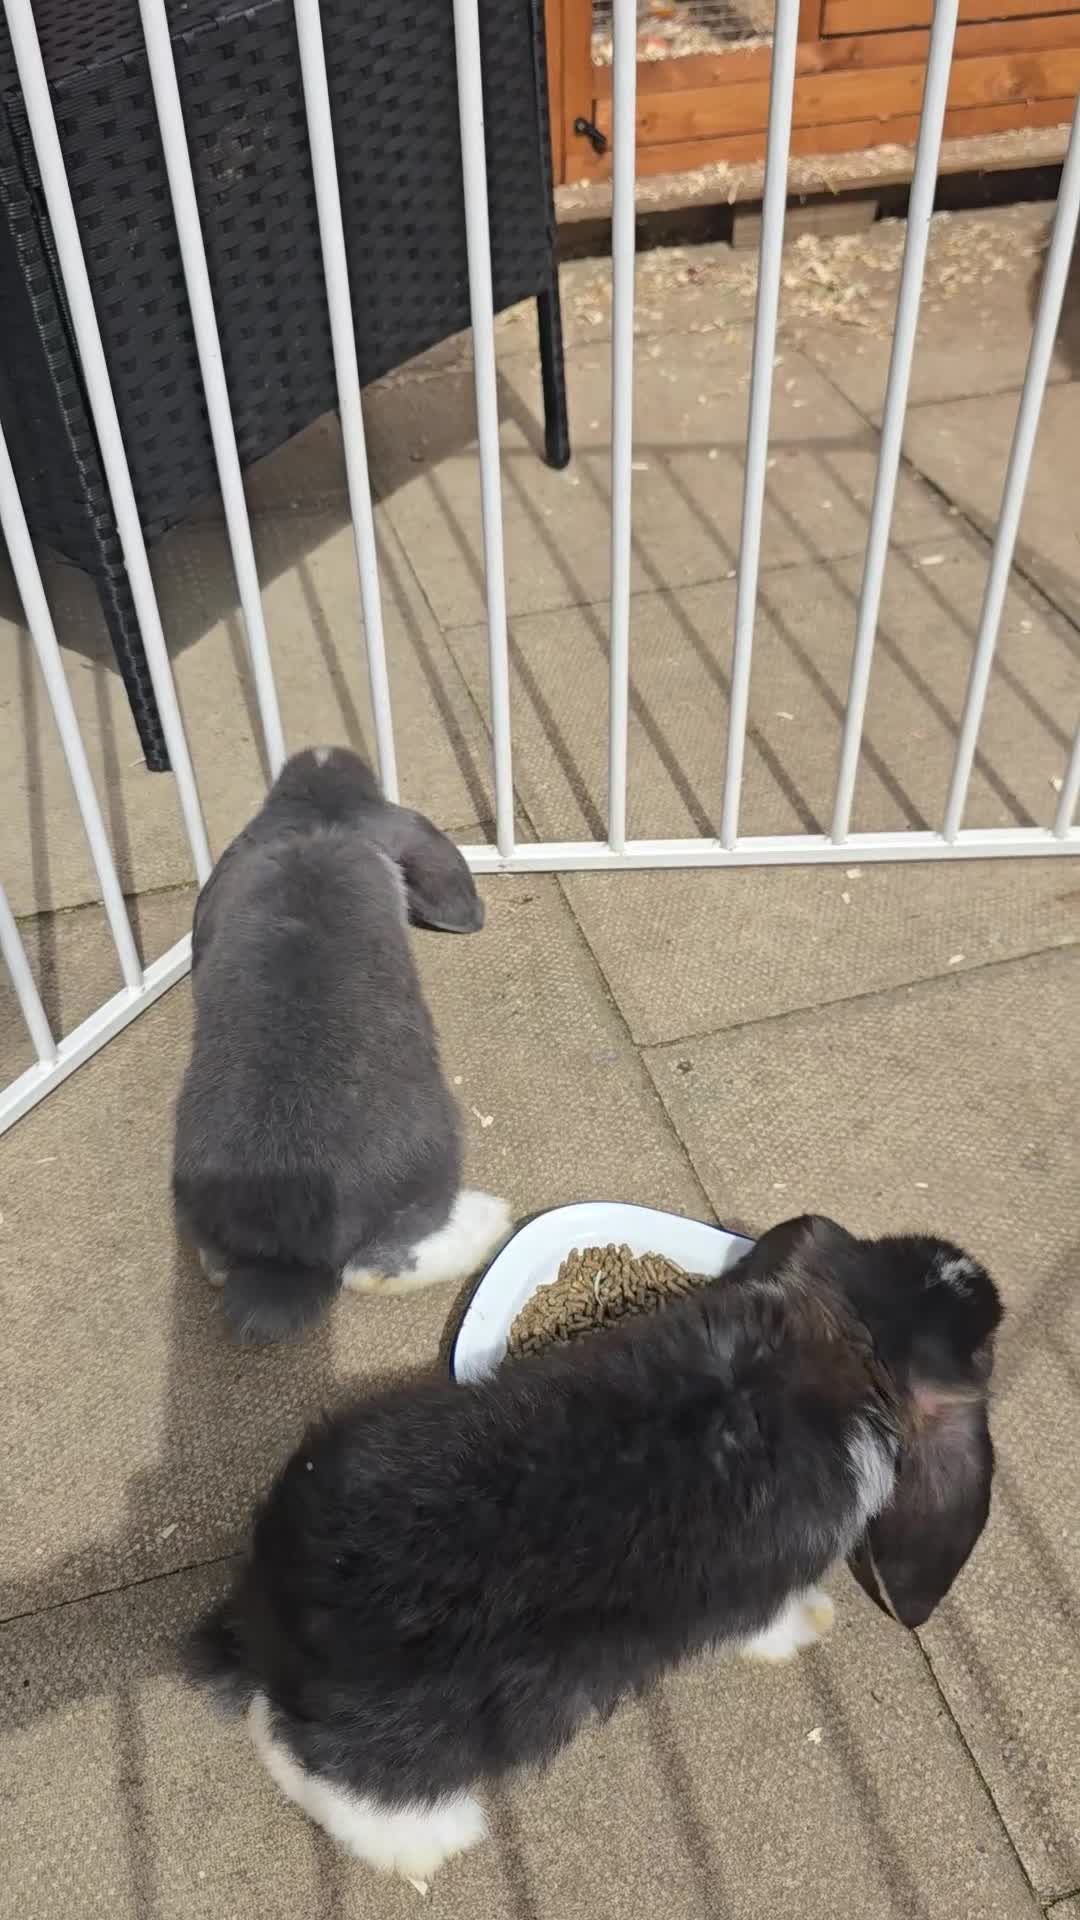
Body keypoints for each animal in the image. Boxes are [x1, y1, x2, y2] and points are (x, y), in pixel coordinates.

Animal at [172, 746, 511, 1342]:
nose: (319, 752)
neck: (317, 818)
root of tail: (284, 1262)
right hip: (432, 1157)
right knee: (373, 1267)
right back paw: (489, 1220)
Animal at [183, 1213, 1002, 1887]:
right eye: (986, 1347)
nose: (982, 1281)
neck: (846, 1347)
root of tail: (277, 1622)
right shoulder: (766, 1589)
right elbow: (772, 1623)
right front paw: (813, 1626)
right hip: (410, 1760)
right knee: (314, 1773)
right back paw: (435, 1849)